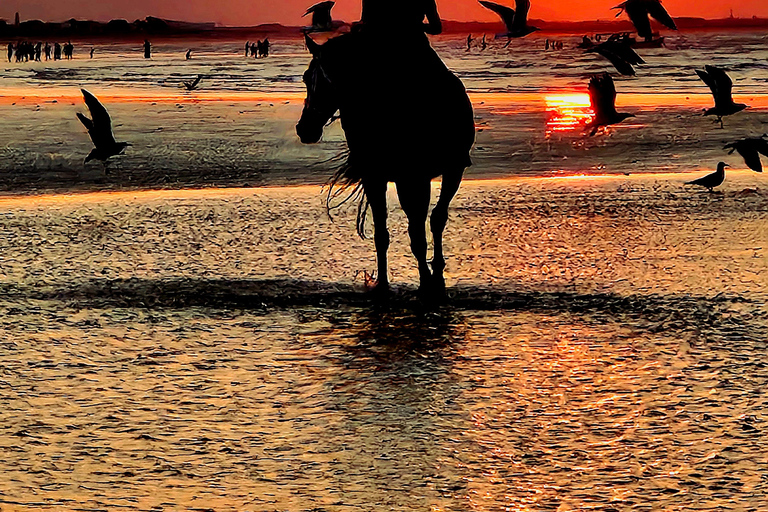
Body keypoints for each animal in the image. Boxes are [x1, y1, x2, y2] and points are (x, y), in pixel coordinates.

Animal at [296, 34, 472, 298]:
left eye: (326, 79)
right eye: (306, 77)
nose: (305, 129)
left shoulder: (414, 177)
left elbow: (419, 231)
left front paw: (427, 281)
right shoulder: (375, 177)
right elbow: (382, 234)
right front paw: (383, 283)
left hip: (452, 169)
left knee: (436, 218)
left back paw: (437, 272)